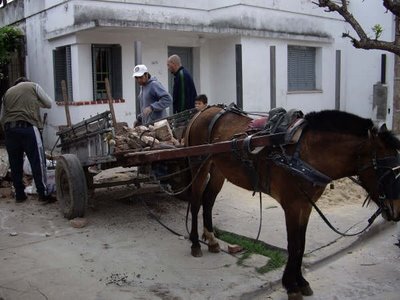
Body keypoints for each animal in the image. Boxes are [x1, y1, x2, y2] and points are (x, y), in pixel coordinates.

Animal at [184, 104, 400, 298]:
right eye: (386, 171)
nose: (397, 211)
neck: (306, 152)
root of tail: (204, 111)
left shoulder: (306, 205)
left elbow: (301, 244)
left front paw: (301, 281)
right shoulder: (292, 206)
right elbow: (293, 245)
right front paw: (291, 285)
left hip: (218, 170)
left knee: (208, 201)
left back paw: (211, 240)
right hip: (199, 166)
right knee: (195, 203)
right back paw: (195, 244)